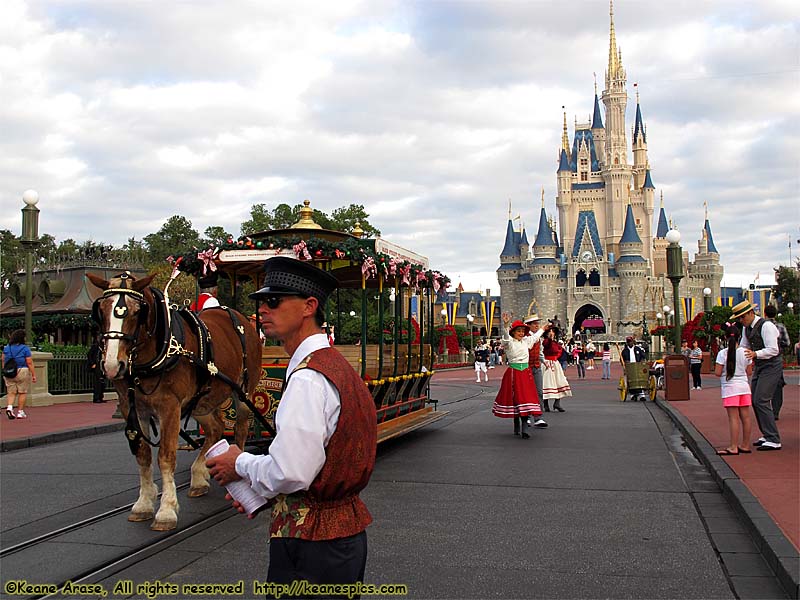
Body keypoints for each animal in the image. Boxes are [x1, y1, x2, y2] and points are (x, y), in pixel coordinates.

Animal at [87, 272, 262, 528]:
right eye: (101, 309)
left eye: (137, 311)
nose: (111, 365)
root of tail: (242, 319)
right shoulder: (133, 408)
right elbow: (143, 455)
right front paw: (143, 504)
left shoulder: (170, 406)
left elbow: (166, 456)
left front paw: (166, 510)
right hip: (202, 401)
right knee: (216, 428)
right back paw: (199, 476)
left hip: (243, 392)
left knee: (240, 428)